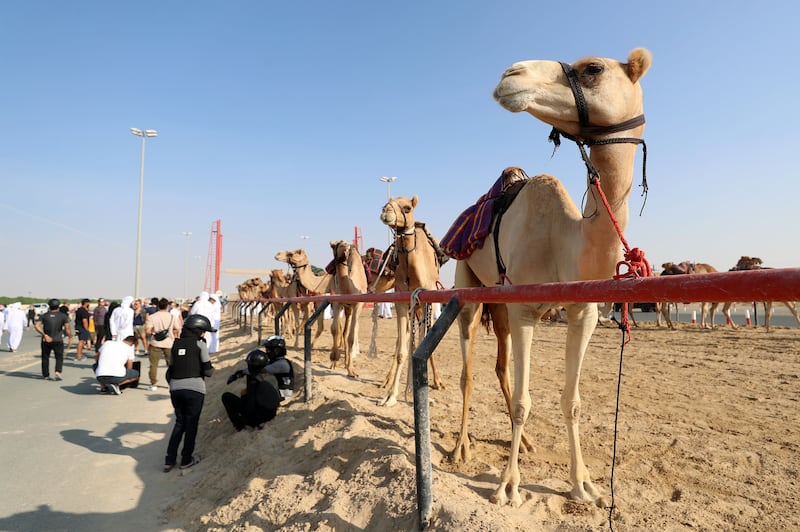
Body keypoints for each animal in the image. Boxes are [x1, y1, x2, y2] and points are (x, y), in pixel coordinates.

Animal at [328, 239, 368, 376]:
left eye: (345, 244)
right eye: (336, 245)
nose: (345, 245)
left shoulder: (357, 305)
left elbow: (351, 336)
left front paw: (351, 370)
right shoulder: (337, 303)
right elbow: (335, 329)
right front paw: (333, 357)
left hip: (350, 308)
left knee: (348, 333)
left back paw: (347, 365)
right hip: (346, 308)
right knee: (343, 332)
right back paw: (337, 364)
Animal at [378, 195, 446, 408]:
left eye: (407, 208)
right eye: (387, 203)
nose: (386, 211)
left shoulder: (426, 299)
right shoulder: (401, 302)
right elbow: (402, 350)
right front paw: (390, 396)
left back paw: (438, 381)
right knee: (403, 340)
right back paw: (386, 381)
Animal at [450, 46, 648, 508]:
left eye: (593, 68)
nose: (509, 75)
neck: (565, 244)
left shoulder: (582, 312)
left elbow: (572, 401)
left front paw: (585, 485)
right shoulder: (525, 309)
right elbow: (525, 402)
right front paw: (508, 486)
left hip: (500, 301)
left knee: (501, 366)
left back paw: (523, 444)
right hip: (467, 283)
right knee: (468, 367)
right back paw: (462, 446)